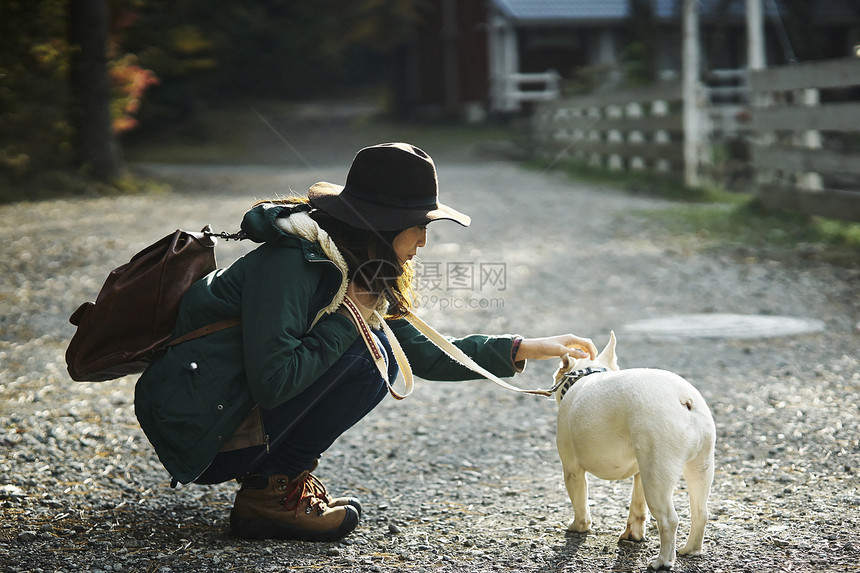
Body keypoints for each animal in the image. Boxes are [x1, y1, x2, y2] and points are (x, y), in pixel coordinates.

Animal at [556, 330, 716, 568]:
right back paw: (691, 549)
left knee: (669, 520)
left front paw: (577, 527)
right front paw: (633, 535)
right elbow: (637, 507)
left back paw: (663, 561)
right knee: (700, 512)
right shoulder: (641, 471)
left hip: (657, 477)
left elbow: (580, 502)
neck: (587, 373)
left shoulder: (572, 470)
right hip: (697, 467)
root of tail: (685, 400)